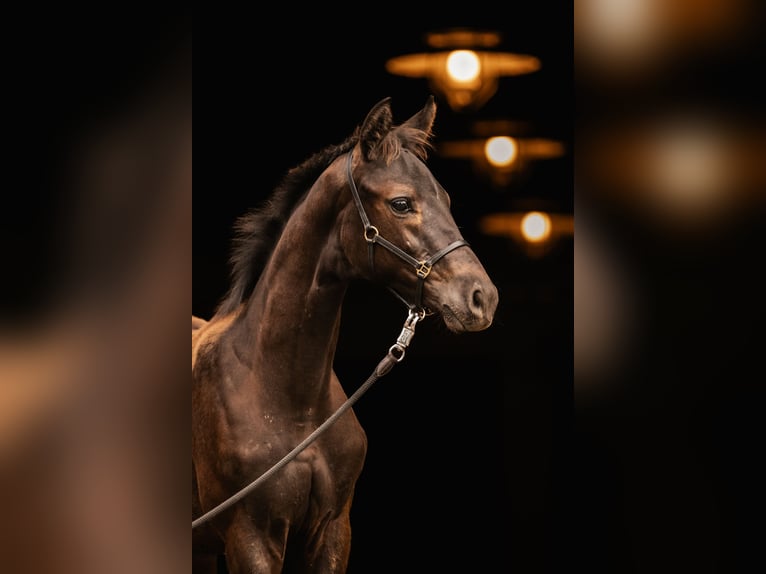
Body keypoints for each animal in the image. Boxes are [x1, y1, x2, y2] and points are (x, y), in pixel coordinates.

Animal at [194, 97, 498, 572]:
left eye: (446, 199)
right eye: (401, 203)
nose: (482, 297)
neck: (289, 400)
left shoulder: (333, 530)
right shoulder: (250, 537)